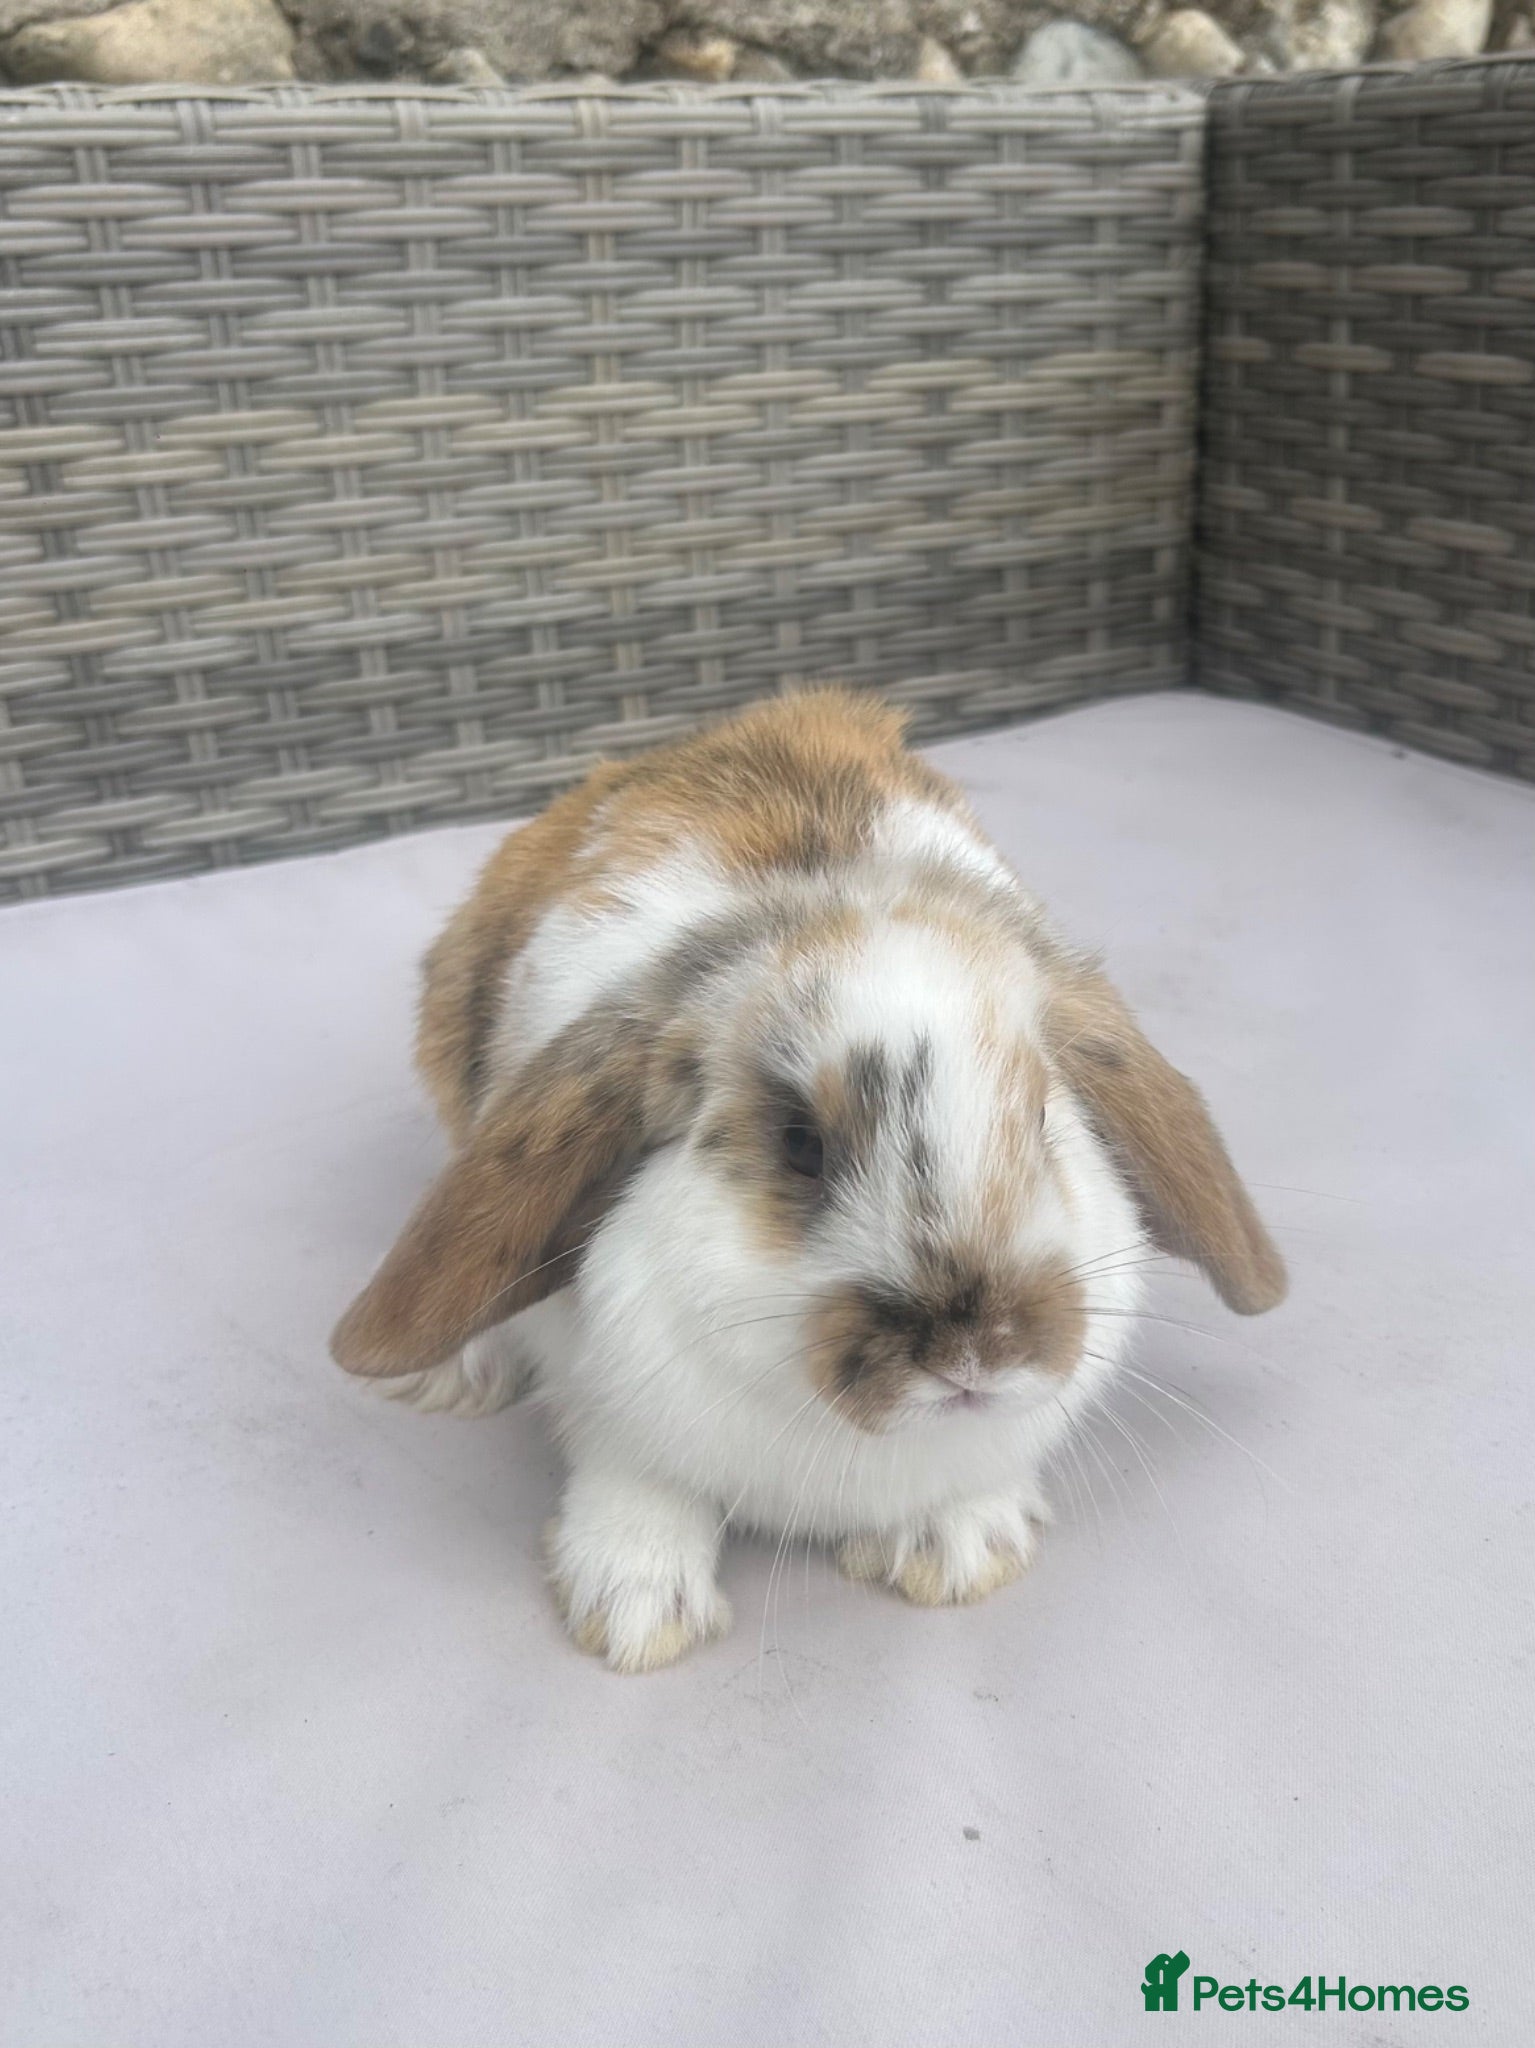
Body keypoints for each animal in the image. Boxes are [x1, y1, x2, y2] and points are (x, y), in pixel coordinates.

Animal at [331, 690, 1286, 1672]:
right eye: (798, 1144)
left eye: (1040, 1116)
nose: (974, 1358)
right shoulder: (612, 1404)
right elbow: (632, 1482)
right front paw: (636, 1610)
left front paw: (959, 1553)